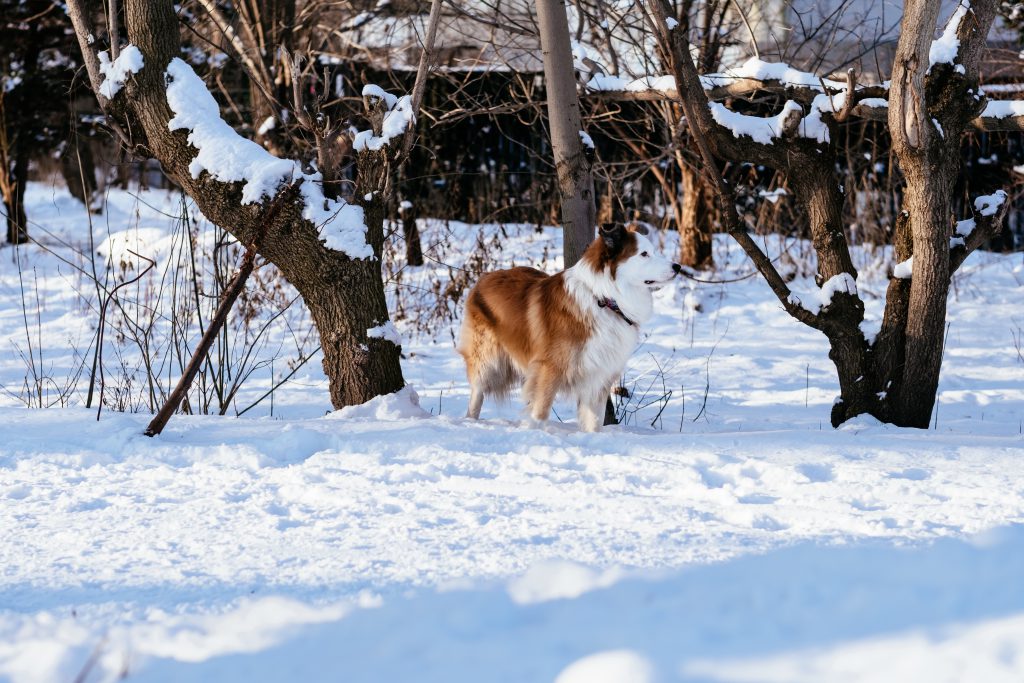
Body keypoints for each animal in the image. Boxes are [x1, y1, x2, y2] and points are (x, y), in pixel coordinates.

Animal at [458, 222, 679, 430]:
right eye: (644, 254)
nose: (677, 267)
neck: (603, 299)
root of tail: (485, 276)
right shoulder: (549, 369)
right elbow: (540, 412)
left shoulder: (598, 375)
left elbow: (594, 421)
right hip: (487, 360)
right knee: (477, 393)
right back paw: (470, 422)